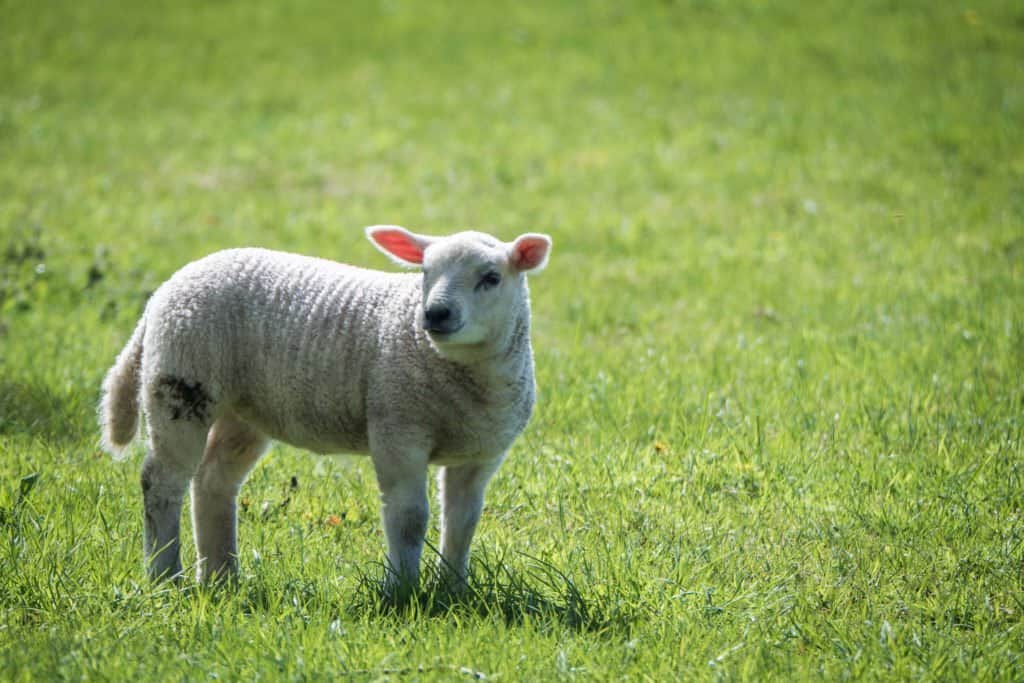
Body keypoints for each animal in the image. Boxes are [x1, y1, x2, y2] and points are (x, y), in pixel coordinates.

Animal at [97, 227, 552, 593]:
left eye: (491, 278)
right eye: (425, 272)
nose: (435, 314)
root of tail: (165, 291)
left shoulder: (483, 452)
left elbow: (463, 521)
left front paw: (453, 589)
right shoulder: (396, 426)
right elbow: (409, 517)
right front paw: (402, 590)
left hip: (243, 410)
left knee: (213, 481)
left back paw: (220, 577)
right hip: (180, 382)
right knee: (162, 481)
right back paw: (165, 576)